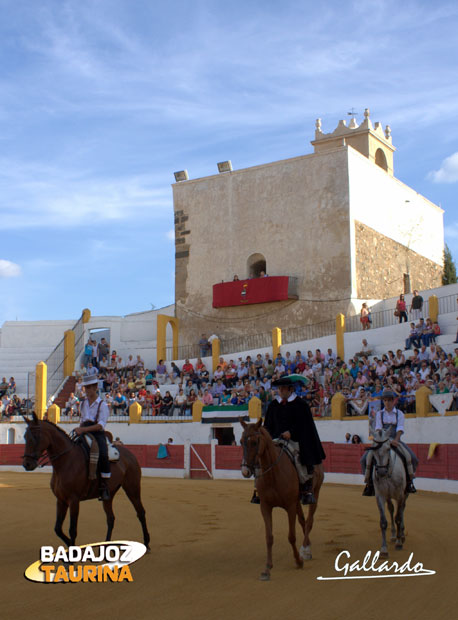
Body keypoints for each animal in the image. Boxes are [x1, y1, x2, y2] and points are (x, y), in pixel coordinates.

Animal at [22, 414, 150, 548]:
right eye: (25, 436)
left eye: (36, 436)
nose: (27, 464)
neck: (66, 461)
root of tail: (130, 454)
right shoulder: (61, 500)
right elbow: (57, 528)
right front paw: (70, 545)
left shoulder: (74, 500)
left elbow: (72, 529)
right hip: (109, 494)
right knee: (110, 518)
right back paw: (106, 544)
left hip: (132, 488)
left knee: (140, 512)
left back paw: (146, 542)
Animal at [242, 416, 324, 580]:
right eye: (241, 441)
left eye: (254, 442)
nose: (245, 470)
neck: (273, 474)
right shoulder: (265, 507)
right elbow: (269, 537)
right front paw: (267, 569)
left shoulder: (290, 506)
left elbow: (291, 536)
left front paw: (298, 561)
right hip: (297, 501)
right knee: (303, 521)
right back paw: (307, 546)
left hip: (315, 493)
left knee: (309, 521)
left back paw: (305, 550)